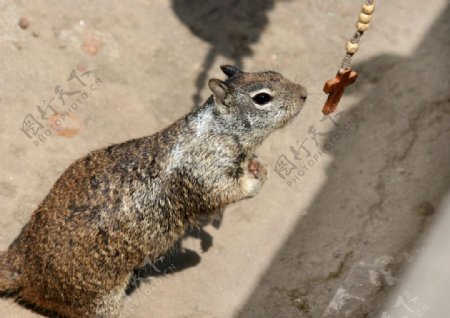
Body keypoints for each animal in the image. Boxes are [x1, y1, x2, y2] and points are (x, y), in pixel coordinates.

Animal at [0, 66, 308, 316]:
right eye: (262, 98)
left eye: (275, 73)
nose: (305, 93)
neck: (216, 130)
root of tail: (22, 265)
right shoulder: (207, 173)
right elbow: (225, 192)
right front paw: (256, 180)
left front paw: (257, 165)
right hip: (100, 299)